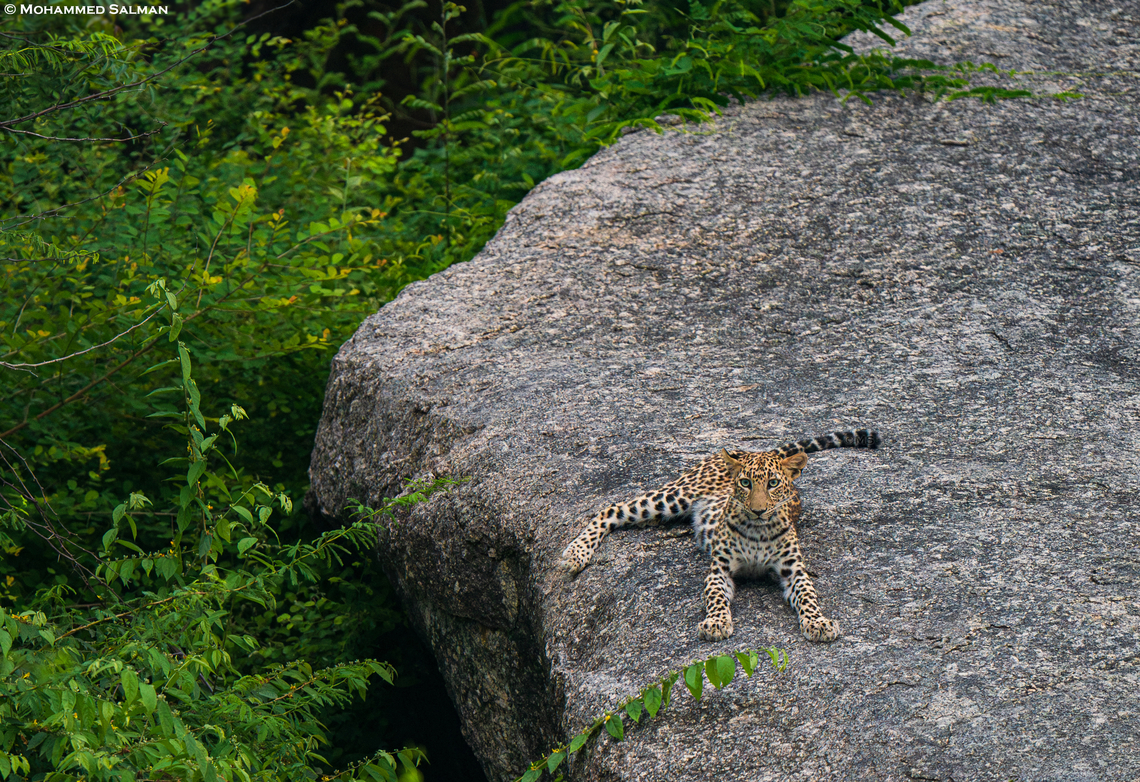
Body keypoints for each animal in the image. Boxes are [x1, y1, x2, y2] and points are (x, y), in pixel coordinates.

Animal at [559, 429, 881, 643]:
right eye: (746, 483)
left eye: (774, 483)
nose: (759, 510)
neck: (758, 531)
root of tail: (752, 450)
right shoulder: (720, 569)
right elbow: (715, 597)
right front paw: (715, 623)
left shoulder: (794, 571)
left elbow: (808, 596)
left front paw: (819, 623)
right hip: (675, 497)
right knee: (611, 509)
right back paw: (576, 554)